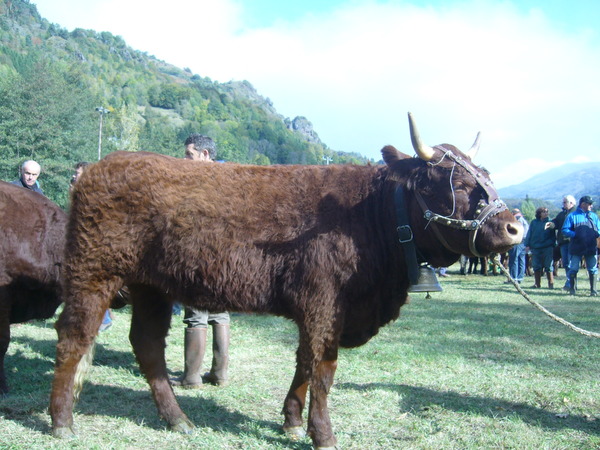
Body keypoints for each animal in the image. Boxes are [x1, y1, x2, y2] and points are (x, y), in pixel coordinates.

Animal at [50, 114, 520, 448]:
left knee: (147, 345)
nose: (514, 225)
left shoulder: (319, 310)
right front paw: (323, 435)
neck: (370, 216)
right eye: (447, 181)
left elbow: (304, 363)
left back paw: (179, 420)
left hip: (152, 287)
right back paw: (61, 421)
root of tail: (102, 166)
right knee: (74, 337)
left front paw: (292, 420)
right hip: (93, 273)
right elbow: (323, 368)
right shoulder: (324, 304)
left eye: (484, 173)